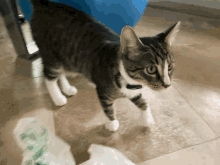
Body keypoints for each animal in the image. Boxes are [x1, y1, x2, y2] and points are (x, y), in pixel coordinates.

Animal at [29, 0, 180, 131]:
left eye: (170, 66)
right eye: (151, 69)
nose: (167, 84)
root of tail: (44, 3)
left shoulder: (134, 91)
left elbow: (142, 101)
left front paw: (147, 119)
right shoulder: (102, 90)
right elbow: (107, 107)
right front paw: (112, 123)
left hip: (67, 59)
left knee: (61, 73)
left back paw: (66, 88)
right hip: (50, 55)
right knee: (49, 76)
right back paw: (57, 97)